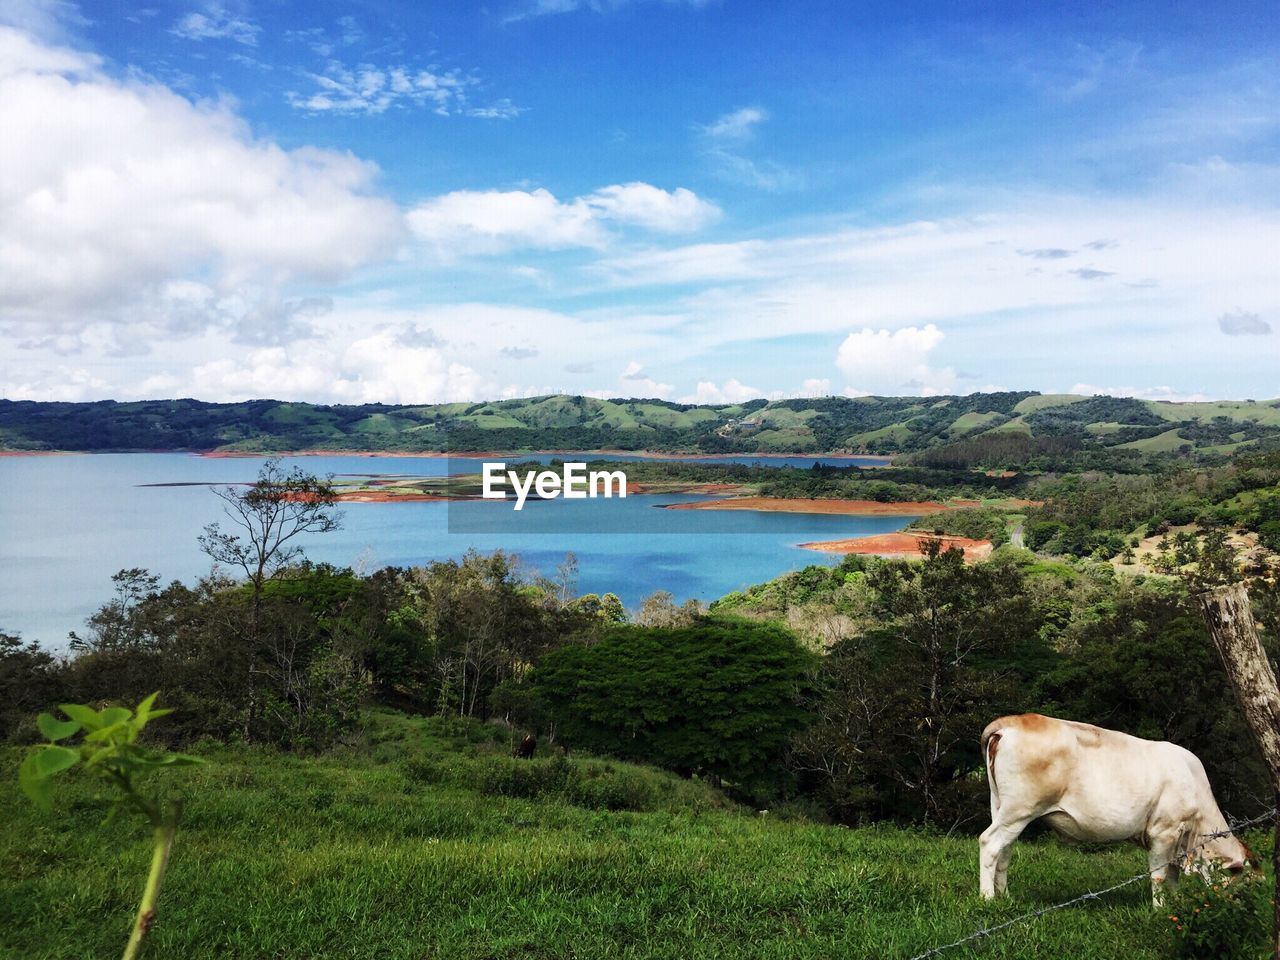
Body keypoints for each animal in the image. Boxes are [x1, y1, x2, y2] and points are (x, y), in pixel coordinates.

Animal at [972, 716, 1254, 901]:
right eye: (1245, 886)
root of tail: (1013, 721)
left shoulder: (1177, 840)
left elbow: (1172, 875)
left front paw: (1177, 904)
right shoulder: (1164, 831)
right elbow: (1159, 875)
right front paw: (1160, 908)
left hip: (1002, 807)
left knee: (1005, 850)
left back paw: (1006, 896)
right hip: (1020, 809)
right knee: (990, 843)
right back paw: (988, 899)